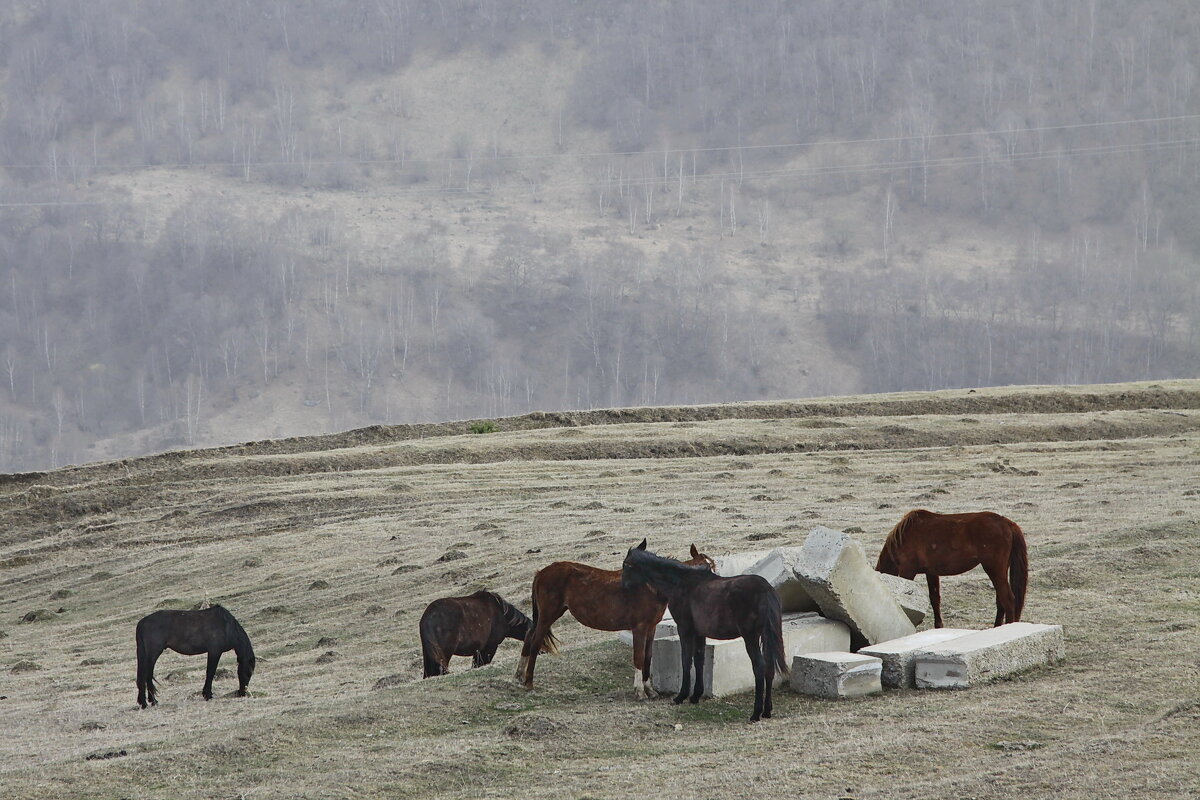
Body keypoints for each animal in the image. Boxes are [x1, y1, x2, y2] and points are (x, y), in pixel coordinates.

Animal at [516, 537, 710, 700]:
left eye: (712, 567)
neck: (649, 588)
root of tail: (542, 572)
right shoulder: (639, 628)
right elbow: (639, 656)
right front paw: (640, 692)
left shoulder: (651, 627)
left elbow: (648, 656)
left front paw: (649, 690)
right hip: (548, 615)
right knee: (535, 641)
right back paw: (529, 683)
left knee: (529, 634)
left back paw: (520, 675)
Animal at [619, 546, 787, 724]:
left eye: (626, 565)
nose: (623, 587)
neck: (680, 583)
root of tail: (766, 589)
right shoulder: (699, 633)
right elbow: (699, 660)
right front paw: (695, 695)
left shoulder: (685, 629)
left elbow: (686, 660)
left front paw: (681, 696)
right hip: (765, 637)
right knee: (769, 668)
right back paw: (767, 711)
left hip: (751, 638)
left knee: (759, 667)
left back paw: (756, 713)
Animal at [873, 510, 1032, 628]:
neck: (903, 537)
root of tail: (1007, 523)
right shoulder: (931, 572)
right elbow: (935, 599)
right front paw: (938, 626)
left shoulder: (907, 571)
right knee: (1001, 601)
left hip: (994, 569)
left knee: (1008, 600)